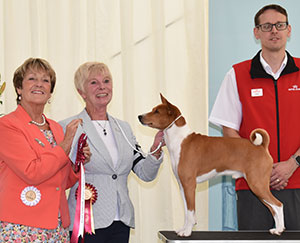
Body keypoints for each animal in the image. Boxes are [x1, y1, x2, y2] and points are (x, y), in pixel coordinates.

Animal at [137, 94, 284, 236]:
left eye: (156, 111)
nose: (139, 116)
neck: (179, 140)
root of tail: (261, 146)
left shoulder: (189, 185)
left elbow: (190, 211)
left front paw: (187, 232)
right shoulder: (182, 186)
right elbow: (187, 213)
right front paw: (184, 229)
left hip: (257, 184)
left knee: (278, 204)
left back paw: (279, 229)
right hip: (259, 187)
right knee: (273, 208)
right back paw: (276, 229)